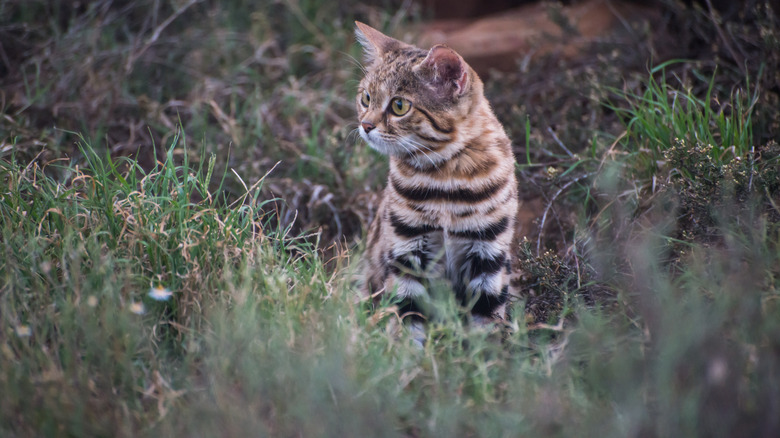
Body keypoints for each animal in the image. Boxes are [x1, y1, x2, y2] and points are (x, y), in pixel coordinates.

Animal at [354, 20, 516, 328]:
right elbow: (406, 321)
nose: (365, 125)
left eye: (399, 106)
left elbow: (488, 326)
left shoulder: (488, 255)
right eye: (365, 98)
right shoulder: (406, 252)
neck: (445, 178)